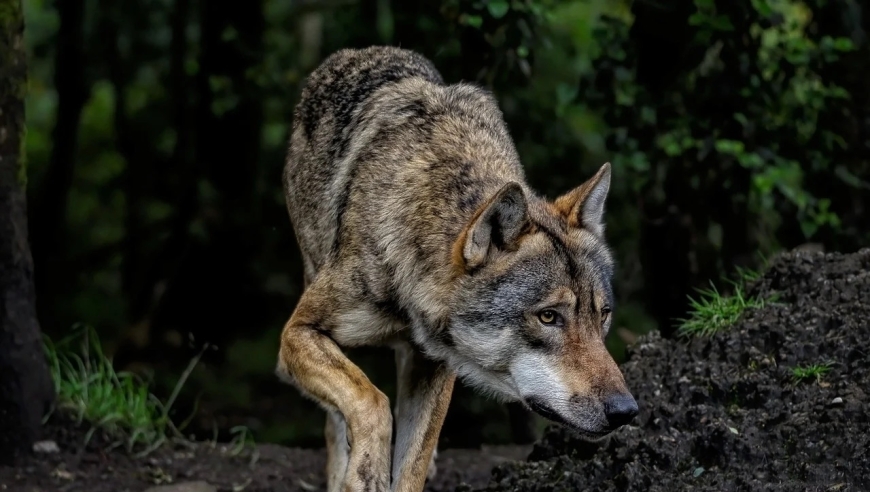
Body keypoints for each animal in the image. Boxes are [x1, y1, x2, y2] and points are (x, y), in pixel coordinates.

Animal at [280, 46, 640, 492]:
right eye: (548, 317)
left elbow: (412, 465)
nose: (626, 410)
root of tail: (358, 52)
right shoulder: (297, 333)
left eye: (602, 315)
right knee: (338, 420)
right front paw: (366, 468)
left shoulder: (435, 365)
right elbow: (371, 401)